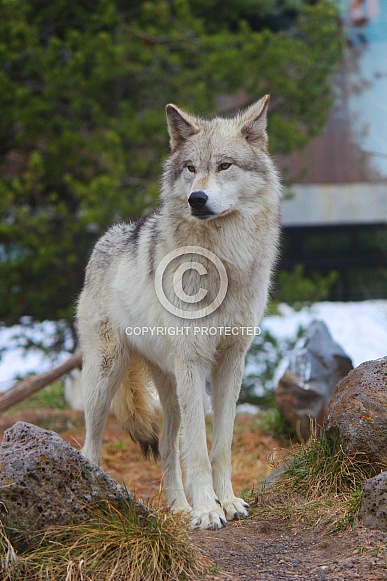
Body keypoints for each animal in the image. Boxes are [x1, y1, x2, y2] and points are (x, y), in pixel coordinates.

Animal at [76, 96, 282, 532]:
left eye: (224, 166)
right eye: (190, 168)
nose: (196, 199)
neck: (223, 261)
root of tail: (109, 235)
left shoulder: (231, 360)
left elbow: (221, 443)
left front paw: (226, 502)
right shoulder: (194, 360)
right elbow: (199, 449)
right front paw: (208, 510)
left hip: (168, 391)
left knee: (169, 449)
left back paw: (179, 508)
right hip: (104, 378)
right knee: (91, 445)